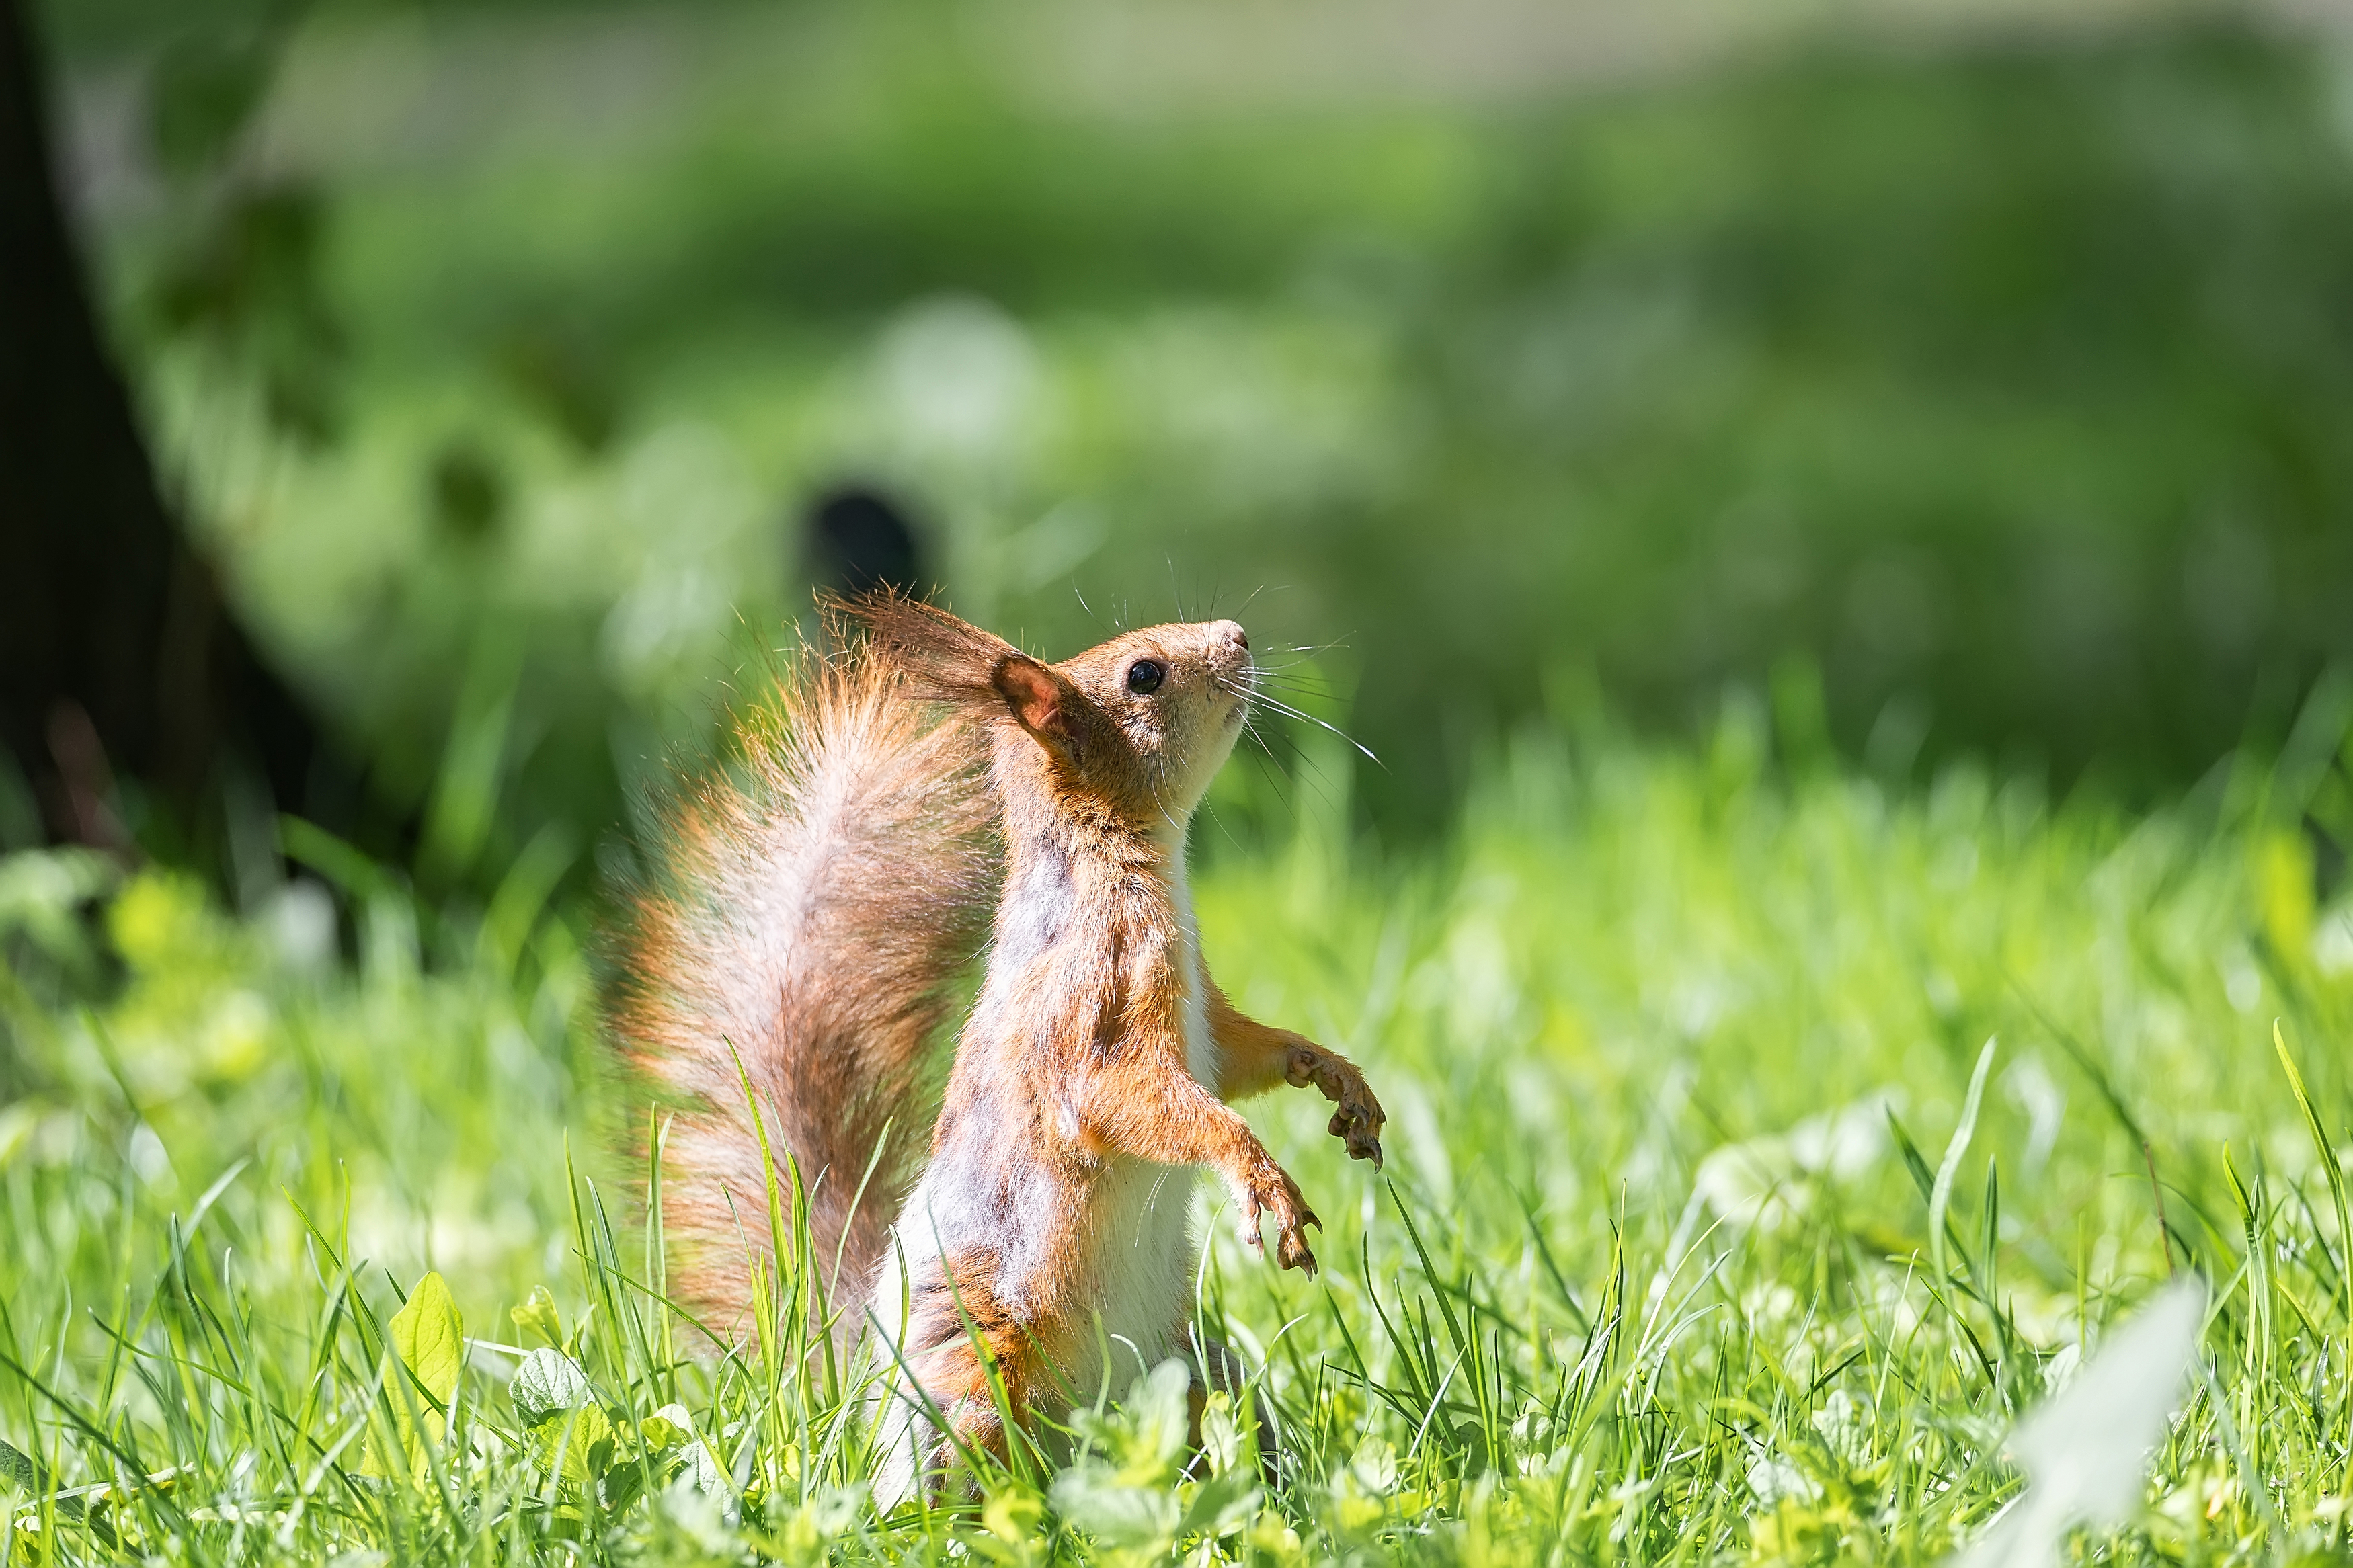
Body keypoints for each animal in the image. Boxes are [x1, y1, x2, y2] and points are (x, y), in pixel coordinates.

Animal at [607, 594, 1384, 1504]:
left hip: (1196, 1370)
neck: (1108, 855)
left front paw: (1332, 1072)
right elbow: (1128, 1100)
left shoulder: (1205, 1024)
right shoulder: (1088, 1003)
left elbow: (1240, 1056)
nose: (1237, 637)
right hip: (978, 1382)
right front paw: (1258, 1176)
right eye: (1144, 673)